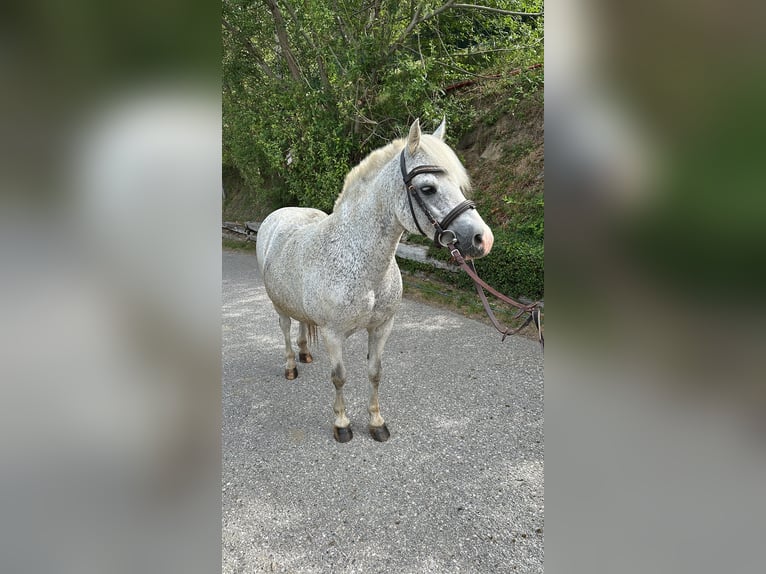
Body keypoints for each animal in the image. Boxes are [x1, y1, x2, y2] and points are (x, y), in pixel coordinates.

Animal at [255, 118, 494, 443]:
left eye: (458, 185)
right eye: (428, 188)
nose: (483, 239)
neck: (361, 263)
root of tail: (278, 214)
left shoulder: (382, 328)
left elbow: (375, 373)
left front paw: (377, 422)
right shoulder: (333, 334)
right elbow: (339, 377)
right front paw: (342, 424)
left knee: (303, 324)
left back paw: (304, 353)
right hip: (278, 306)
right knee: (284, 329)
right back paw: (292, 365)